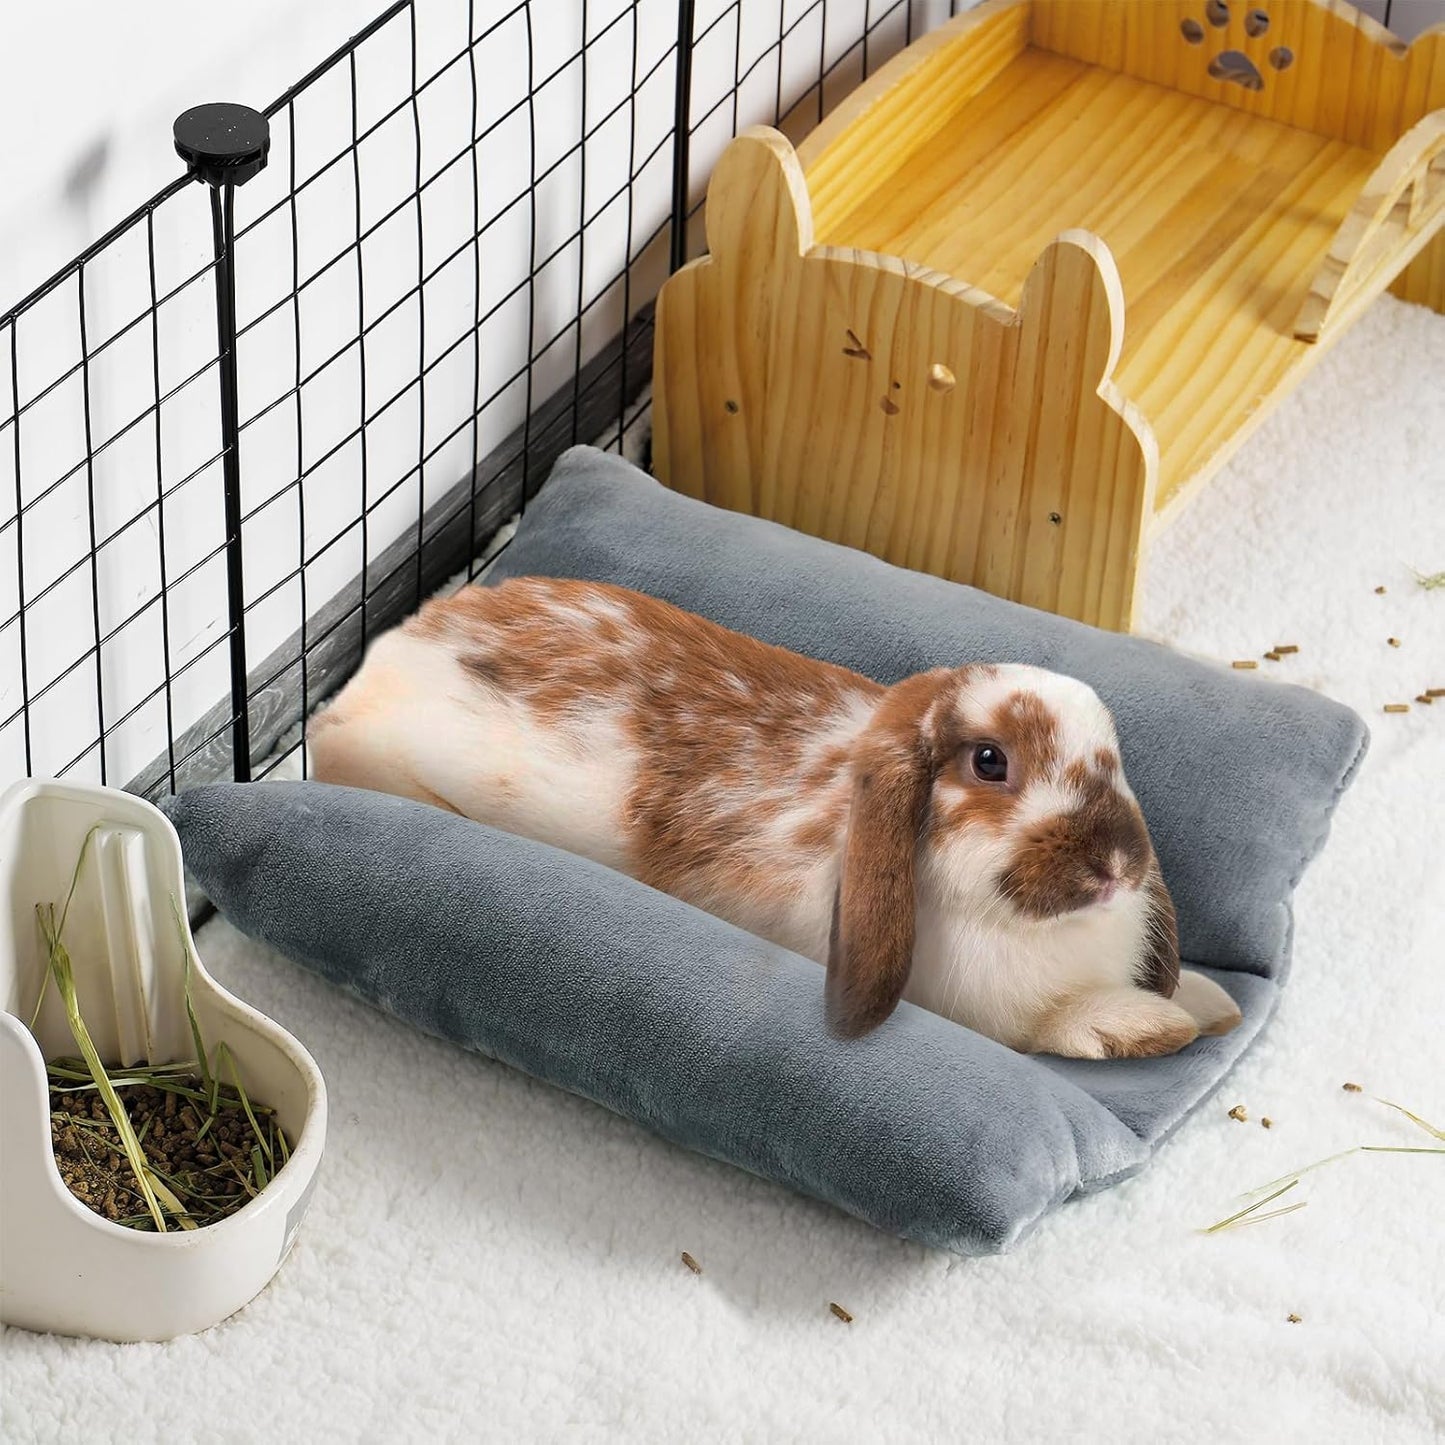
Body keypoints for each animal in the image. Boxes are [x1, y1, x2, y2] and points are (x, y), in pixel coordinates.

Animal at [308, 576, 1243, 1058]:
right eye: (989, 762)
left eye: (1113, 755)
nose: (1115, 866)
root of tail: (390, 655)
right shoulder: (988, 1014)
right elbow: (1055, 1026)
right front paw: (1145, 1024)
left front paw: (1210, 1001)